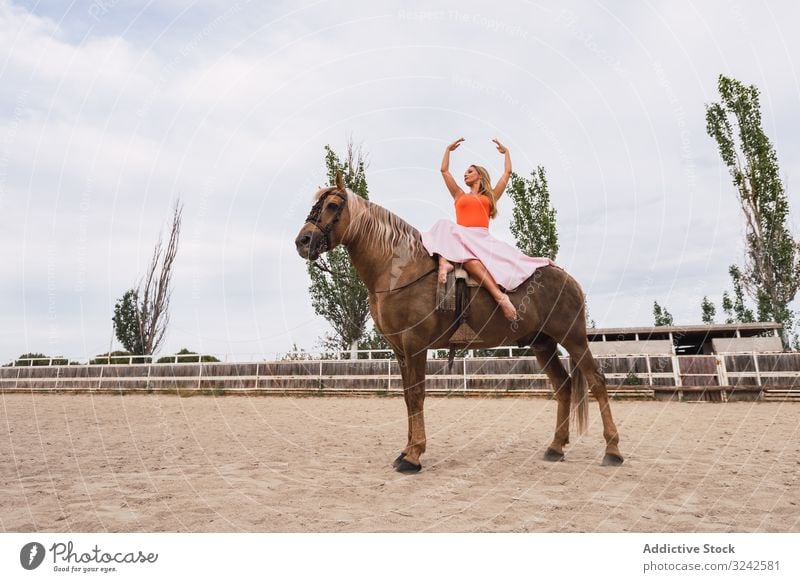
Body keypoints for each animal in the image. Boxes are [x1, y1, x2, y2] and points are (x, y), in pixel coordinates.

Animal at [296, 173, 624, 474]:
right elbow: (408, 397)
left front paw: (413, 456)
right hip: (543, 344)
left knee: (597, 381)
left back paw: (612, 450)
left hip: (573, 338)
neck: (399, 268)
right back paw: (555, 447)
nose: (303, 241)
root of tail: (568, 279)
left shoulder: (415, 346)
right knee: (564, 386)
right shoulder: (401, 351)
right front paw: (406, 450)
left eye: (332, 205)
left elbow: (417, 395)